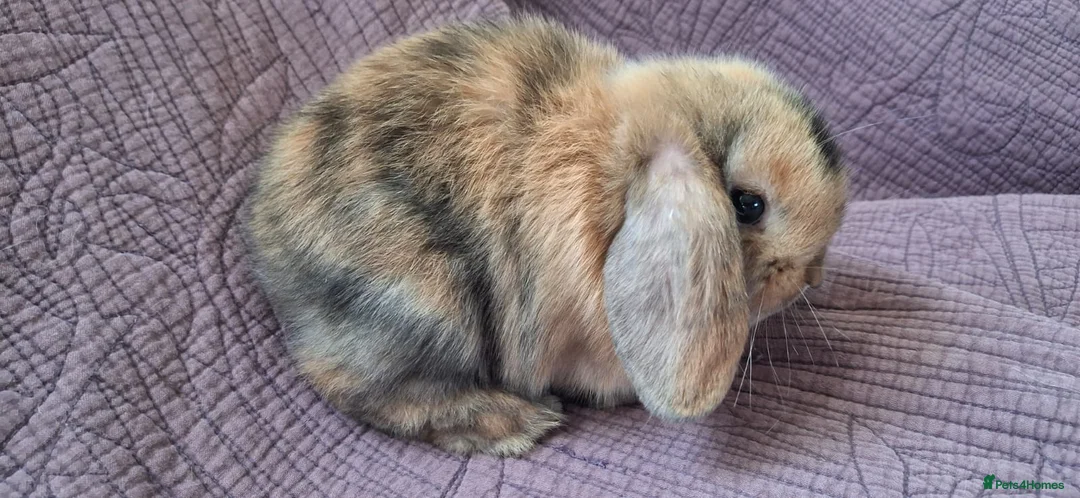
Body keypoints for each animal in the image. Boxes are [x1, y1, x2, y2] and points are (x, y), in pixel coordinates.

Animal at [244, 16, 848, 457]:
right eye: (748, 204)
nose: (810, 276)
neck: (612, 176)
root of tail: (270, 248)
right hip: (425, 303)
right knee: (372, 392)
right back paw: (519, 423)